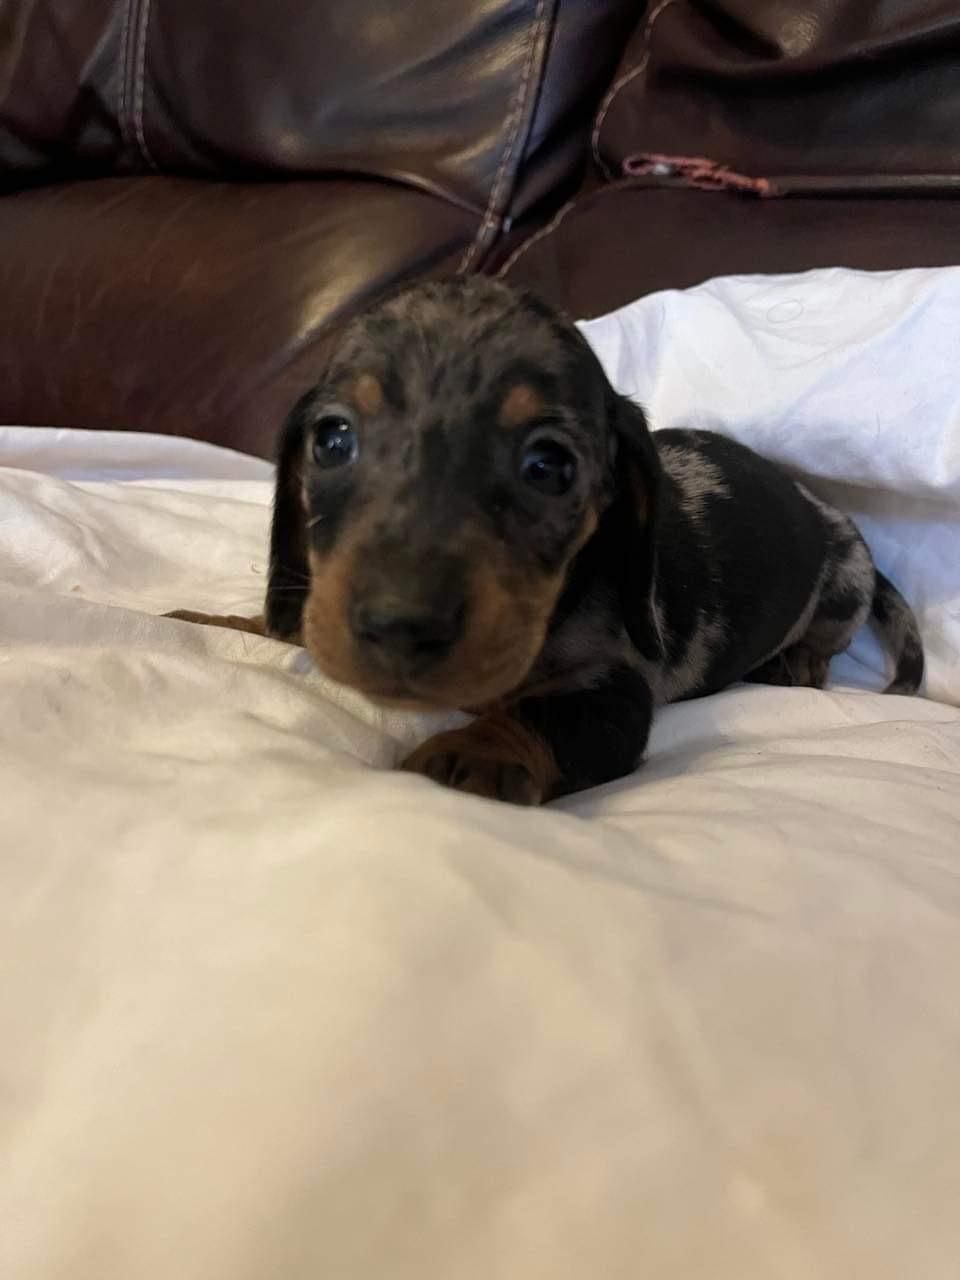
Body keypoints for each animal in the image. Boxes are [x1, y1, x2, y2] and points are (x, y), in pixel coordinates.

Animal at [168, 277, 924, 805]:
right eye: (332, 439)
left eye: (549, 467)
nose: (400, 626)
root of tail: (819, 504)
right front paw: (214, 619)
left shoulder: (615, 691)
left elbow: (543, 719)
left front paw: (476, 752)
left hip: (843, 580)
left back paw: (795, 662)